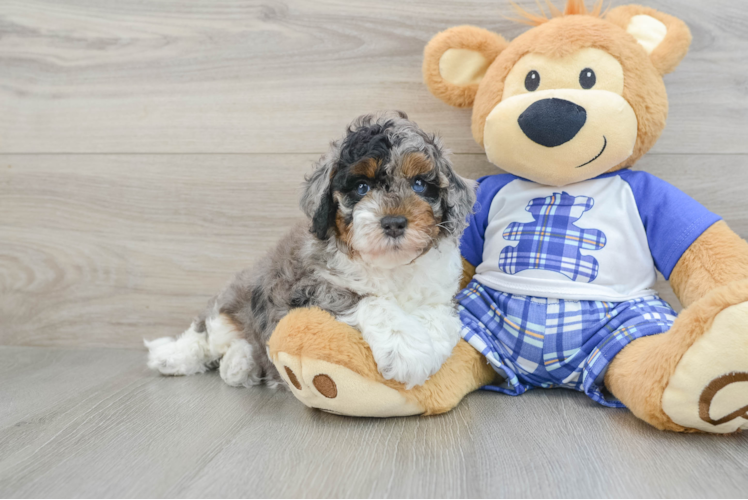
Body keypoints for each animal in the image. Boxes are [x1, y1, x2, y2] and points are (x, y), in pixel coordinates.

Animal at [143, 112, 476, 390]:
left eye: (419, 184)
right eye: (362, 188)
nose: (394, 222)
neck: (390, 266)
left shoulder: (442, 292)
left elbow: (440, 315)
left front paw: (429, 347)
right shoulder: (305, 287)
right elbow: (367, 299)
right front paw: (405, 348)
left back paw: (240, 365)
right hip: (235, 299)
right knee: (206, 332)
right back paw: (170, 356)